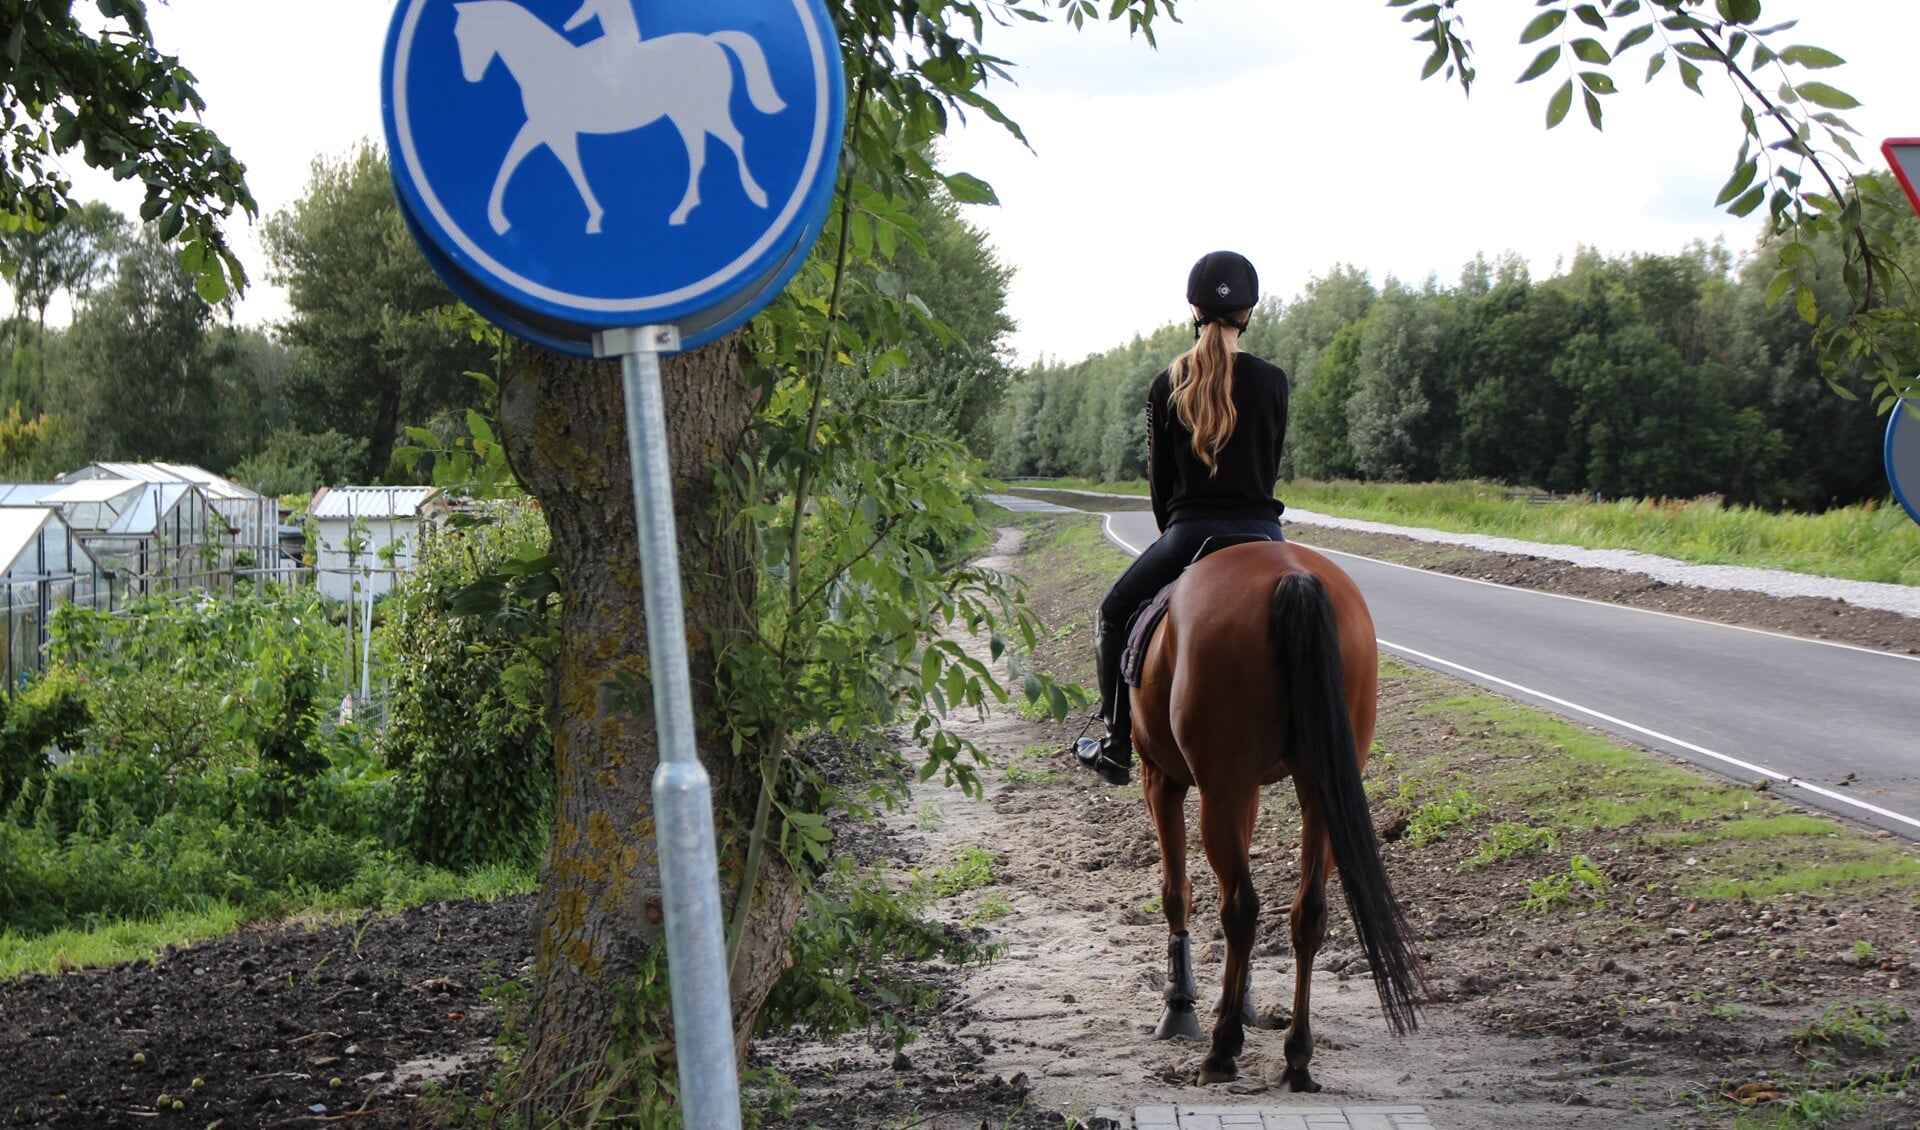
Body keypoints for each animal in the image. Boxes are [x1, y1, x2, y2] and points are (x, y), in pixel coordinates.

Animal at [1128, 541, 1420, 1089]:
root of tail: (1292, 576)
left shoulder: (1162, 778)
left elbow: (1176, 891)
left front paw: (1181, 1006)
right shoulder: (1247, 794)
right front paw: (1238, 1001)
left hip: (1219, 789)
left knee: (1240, 908)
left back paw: (1221, 1052)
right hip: (1317, 791)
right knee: (1309, 912)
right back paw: (1296, 1058)